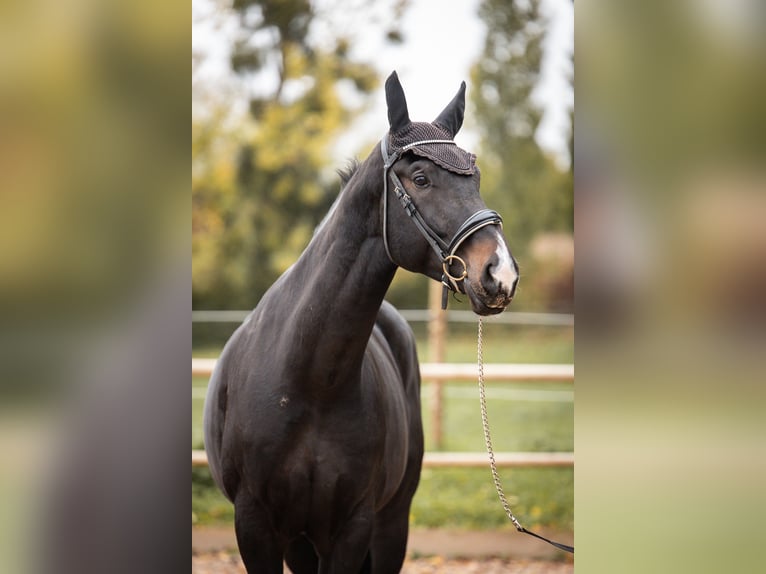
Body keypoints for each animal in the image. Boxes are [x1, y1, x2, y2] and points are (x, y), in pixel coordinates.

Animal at [202, 73, 520, 574]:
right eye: (421, 178)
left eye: (477, 178)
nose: (500, 274)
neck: (309, 383)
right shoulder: (255, 527)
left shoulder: (353, 527)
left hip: (392, 523)